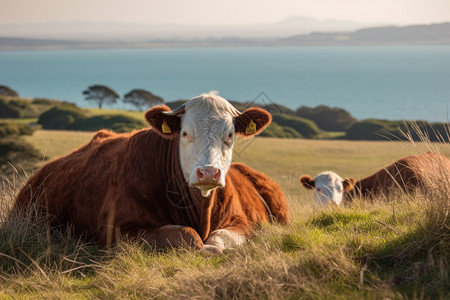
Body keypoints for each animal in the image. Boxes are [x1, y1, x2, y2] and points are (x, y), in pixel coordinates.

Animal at [13, 92, 292, 252]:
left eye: (230, 135)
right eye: (184, 133)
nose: (208, 173)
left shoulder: (242, 222)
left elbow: (217, 241)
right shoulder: (117, 229)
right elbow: (188, 236)